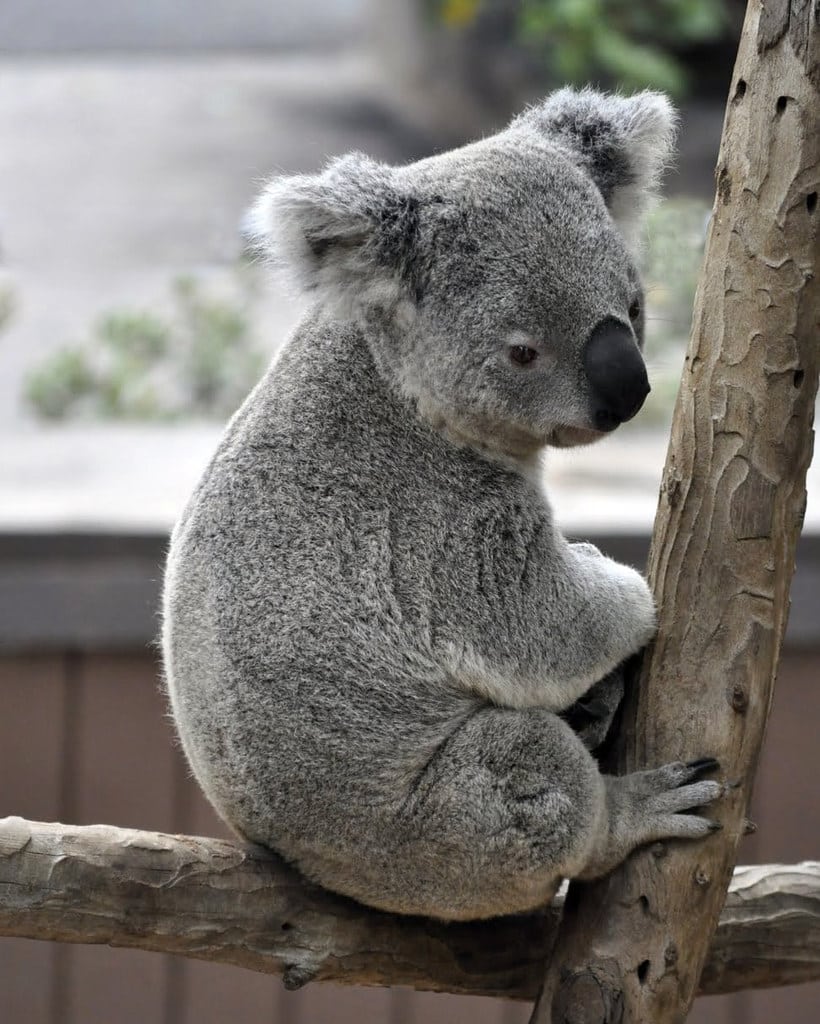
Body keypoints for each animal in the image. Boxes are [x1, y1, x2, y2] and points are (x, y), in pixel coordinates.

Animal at [162, 87, 722, 922]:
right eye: (522, 351)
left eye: (634, 304)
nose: (627, 391)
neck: (395, 380)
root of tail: (289, 857)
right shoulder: (446, 524)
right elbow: (534, 622)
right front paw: (621, 583)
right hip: (438, 828)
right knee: (539, 790)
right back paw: (627, 806)